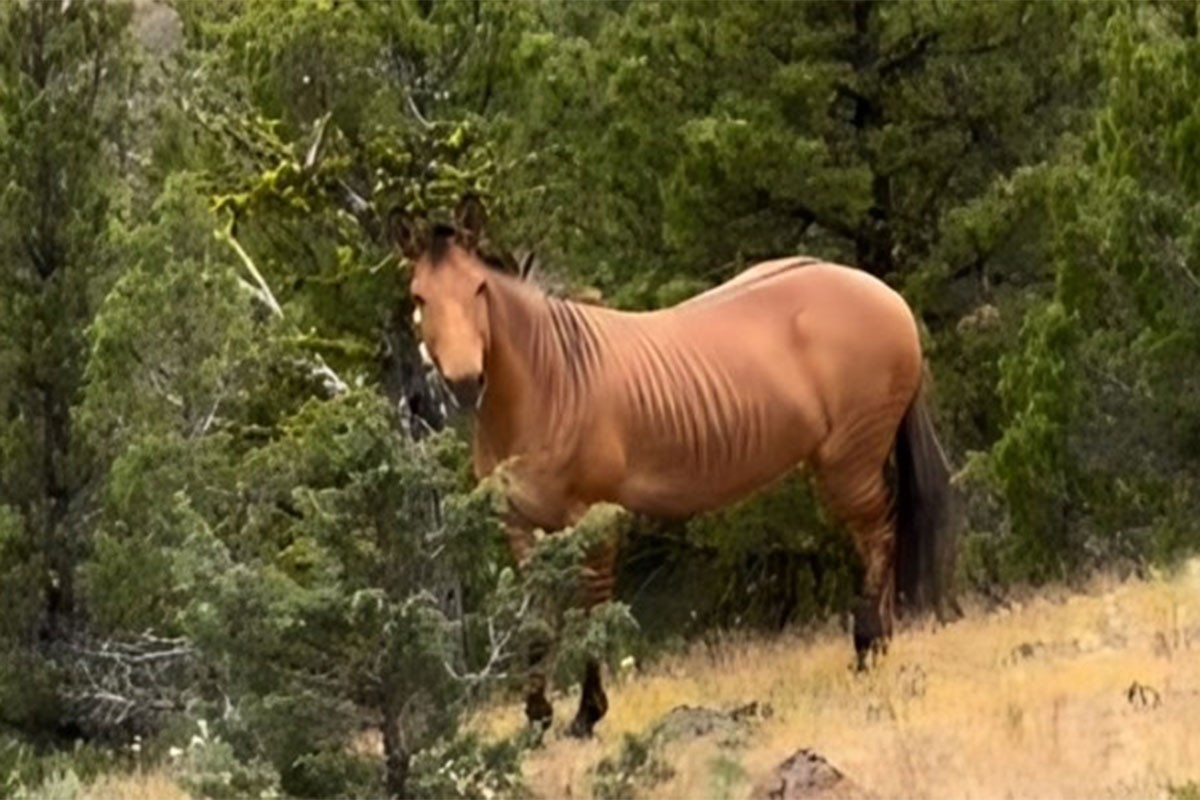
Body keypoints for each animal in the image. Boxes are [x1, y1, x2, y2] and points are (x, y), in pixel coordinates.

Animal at [393, 194, 955, 738]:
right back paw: (881, 646)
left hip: (849, 462)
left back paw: (866, 650)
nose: (466, 383)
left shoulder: (595, 519)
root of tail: (888, 296)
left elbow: (593, 610)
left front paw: (587, 714)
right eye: (419, 297)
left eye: (480, 288)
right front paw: (537, 715)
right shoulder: (520, 524)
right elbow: (535, 621)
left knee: (878, 537)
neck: (548, 382)